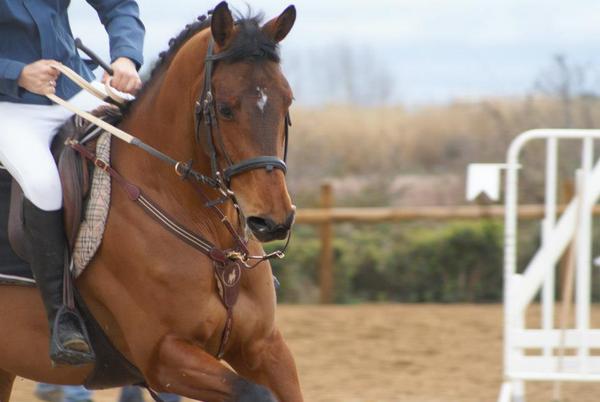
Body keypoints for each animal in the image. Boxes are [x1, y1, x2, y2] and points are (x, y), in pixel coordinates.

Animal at [0, 3, 302, 402]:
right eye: (225, 109)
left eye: (288, 99)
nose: (274, 221)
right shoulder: (164, 357)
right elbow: (255, 393)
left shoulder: (264, 347)